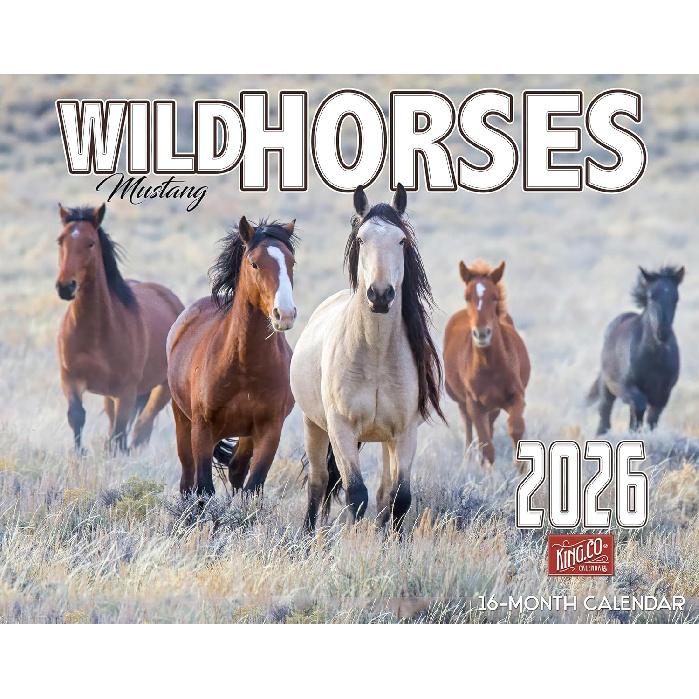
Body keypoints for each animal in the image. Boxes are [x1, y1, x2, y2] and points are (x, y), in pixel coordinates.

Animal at [55, 203, 184, 451]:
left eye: (90, 243)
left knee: (142, 426)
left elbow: (120, 433)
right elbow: (77, 416)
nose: (66, 287)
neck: (95, 333)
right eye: (60, 241)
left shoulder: (126, 391)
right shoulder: (70, 378)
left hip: (161, 388)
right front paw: (79, 453)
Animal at [167, 217, 298, 497]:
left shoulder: (269, 430)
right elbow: (204, 488)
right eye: (254, 263)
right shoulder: (202, 428)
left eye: (291, 262)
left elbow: (252, 486)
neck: (245, 366)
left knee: (237, 470)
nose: (285, 314)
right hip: (183, 421)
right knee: (187, 478)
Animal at [290, 184, 443, 532]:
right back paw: (308, 534)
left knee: (385, 490)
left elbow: (399, 497)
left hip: (386, 440)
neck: (374, 355)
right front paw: (354, 539)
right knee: (318, 482)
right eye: (361, 239)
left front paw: (388, 541)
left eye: (401, 240)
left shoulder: (405, 432)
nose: (381, 294)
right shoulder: (341, 429)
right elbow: (355, 493)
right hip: (313, 426)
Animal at [443, 260, 530, 466]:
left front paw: (521, 467)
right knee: (468, 425)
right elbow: (486, 446)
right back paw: (467, 459)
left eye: (494, 297)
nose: (482, 333)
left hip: (493, 406)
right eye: (467, 297)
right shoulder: (475, 404)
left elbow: (515, 428)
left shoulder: (516, 396)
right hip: (463, 401)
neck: (490, 367)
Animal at [588, 265, 684, 434]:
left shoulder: (663, 394)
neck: (654, 357)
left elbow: (651, 419)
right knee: (605, 413)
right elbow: (639, 408)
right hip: (607, 387)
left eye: (676, 298)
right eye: (651, 296)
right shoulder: (626, 387)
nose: (662, 332)